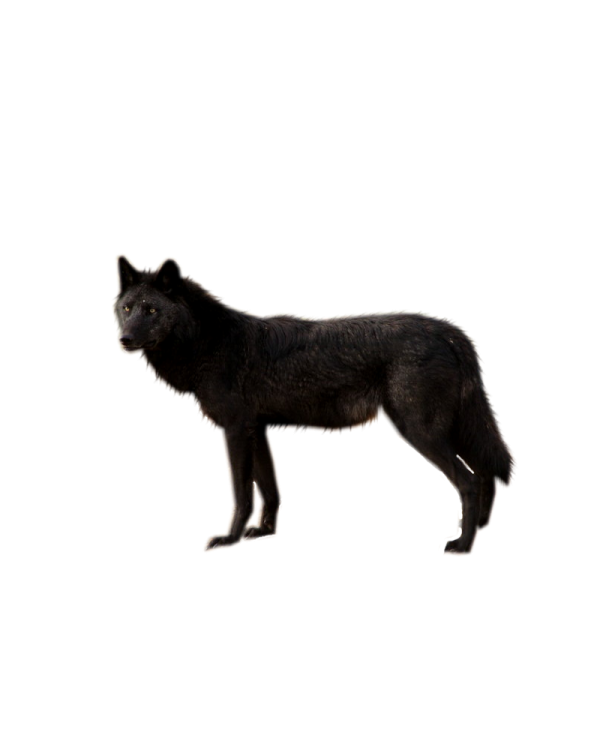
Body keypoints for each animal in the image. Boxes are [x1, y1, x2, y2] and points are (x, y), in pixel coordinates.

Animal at [112, 255, 517, 556]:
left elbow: (241, 495)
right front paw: (262, 533)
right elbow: (269, 490)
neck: (209, 341)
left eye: (151, 311)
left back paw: (462, 545)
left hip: (420, 432)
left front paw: (229, 539)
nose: (125, 339)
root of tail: (452, 330)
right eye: (128, 308)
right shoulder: (257, 431)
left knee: (470, 480)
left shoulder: (234, 431)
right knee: (485, 474)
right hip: (449, 430)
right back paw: (476, 529)